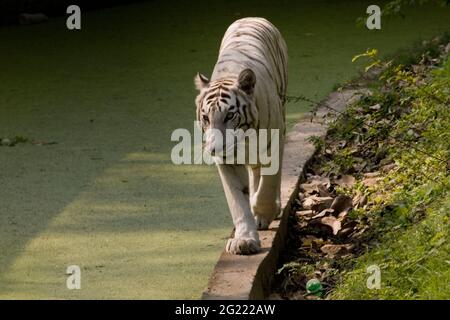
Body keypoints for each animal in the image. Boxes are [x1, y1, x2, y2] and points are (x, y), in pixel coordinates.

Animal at [193, 18, 288, 255]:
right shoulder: (227, 163)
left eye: (229, 115)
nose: (214, 149)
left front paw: (263, 211)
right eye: (206, 118)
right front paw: (245, 240)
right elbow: (237, 201)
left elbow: (267, 185)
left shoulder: (274, 143)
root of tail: (251, 17)